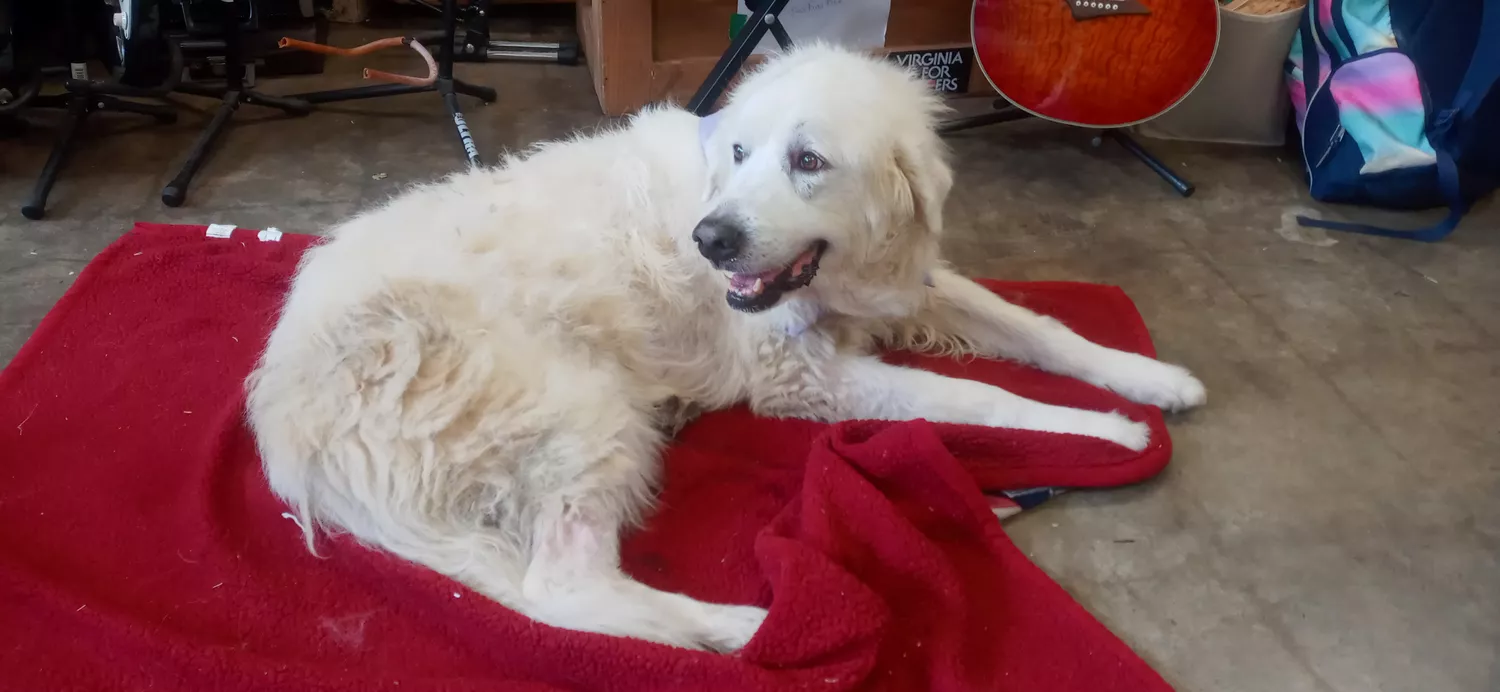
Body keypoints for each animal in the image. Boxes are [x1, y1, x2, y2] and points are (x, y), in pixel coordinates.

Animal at [246, 44, 1206, 651]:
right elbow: (984, 397)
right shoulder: (808, 379)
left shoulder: (908, 285)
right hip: (587, 411)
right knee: (559, 592)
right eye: (739, 151)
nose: (710, 240)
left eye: (808, 161)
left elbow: (1040, 328)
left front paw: (1148, 378)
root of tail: (288, 418)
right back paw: (743, 628)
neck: (838, 276)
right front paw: (1109, 431)